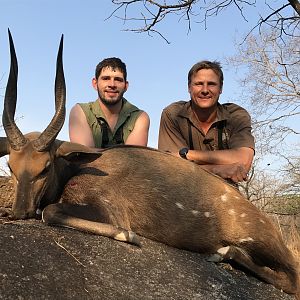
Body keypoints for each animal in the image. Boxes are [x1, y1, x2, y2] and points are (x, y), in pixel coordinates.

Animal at [0, 31, 298, 298]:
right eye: (11, 167)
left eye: (45, 167)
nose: (19, 212)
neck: (77, 167)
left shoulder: (110, 210)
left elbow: (50, 211)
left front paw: (128, 235)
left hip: (261, 242)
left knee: (291, 277)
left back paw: (222, 252)